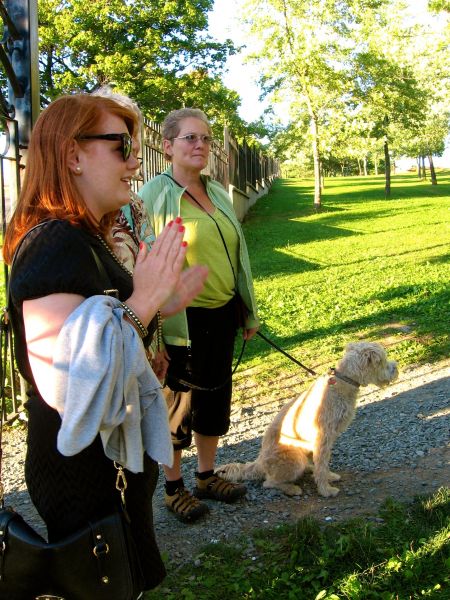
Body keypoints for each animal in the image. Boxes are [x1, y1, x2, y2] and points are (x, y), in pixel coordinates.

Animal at [218, 342, 398, 496]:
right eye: (383, 361)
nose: (396, 368)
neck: (342, 383)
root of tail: (259, 462)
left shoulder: (325, 441)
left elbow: (322, 464)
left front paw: (329, 477)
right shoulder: (323, 437)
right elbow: (321, 465)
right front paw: (326, 490)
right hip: (295, 459)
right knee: (269, 483)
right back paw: (292, 489)